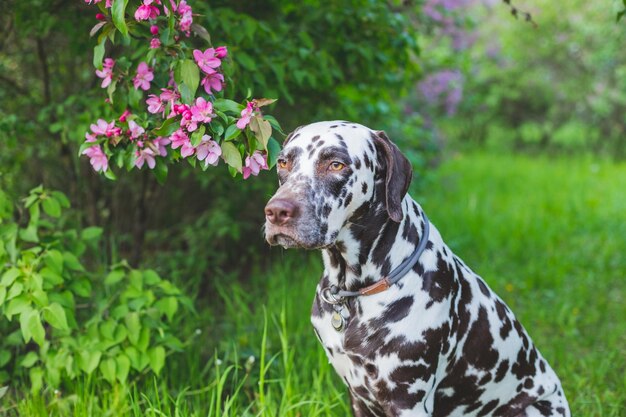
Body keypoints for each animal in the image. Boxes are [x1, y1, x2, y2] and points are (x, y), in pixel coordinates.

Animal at [260, 121, 568, 416]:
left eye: (336, 164)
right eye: (284, 162)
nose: (276, 211)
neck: (355, 292)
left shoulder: (407, 401)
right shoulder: (357, 397)